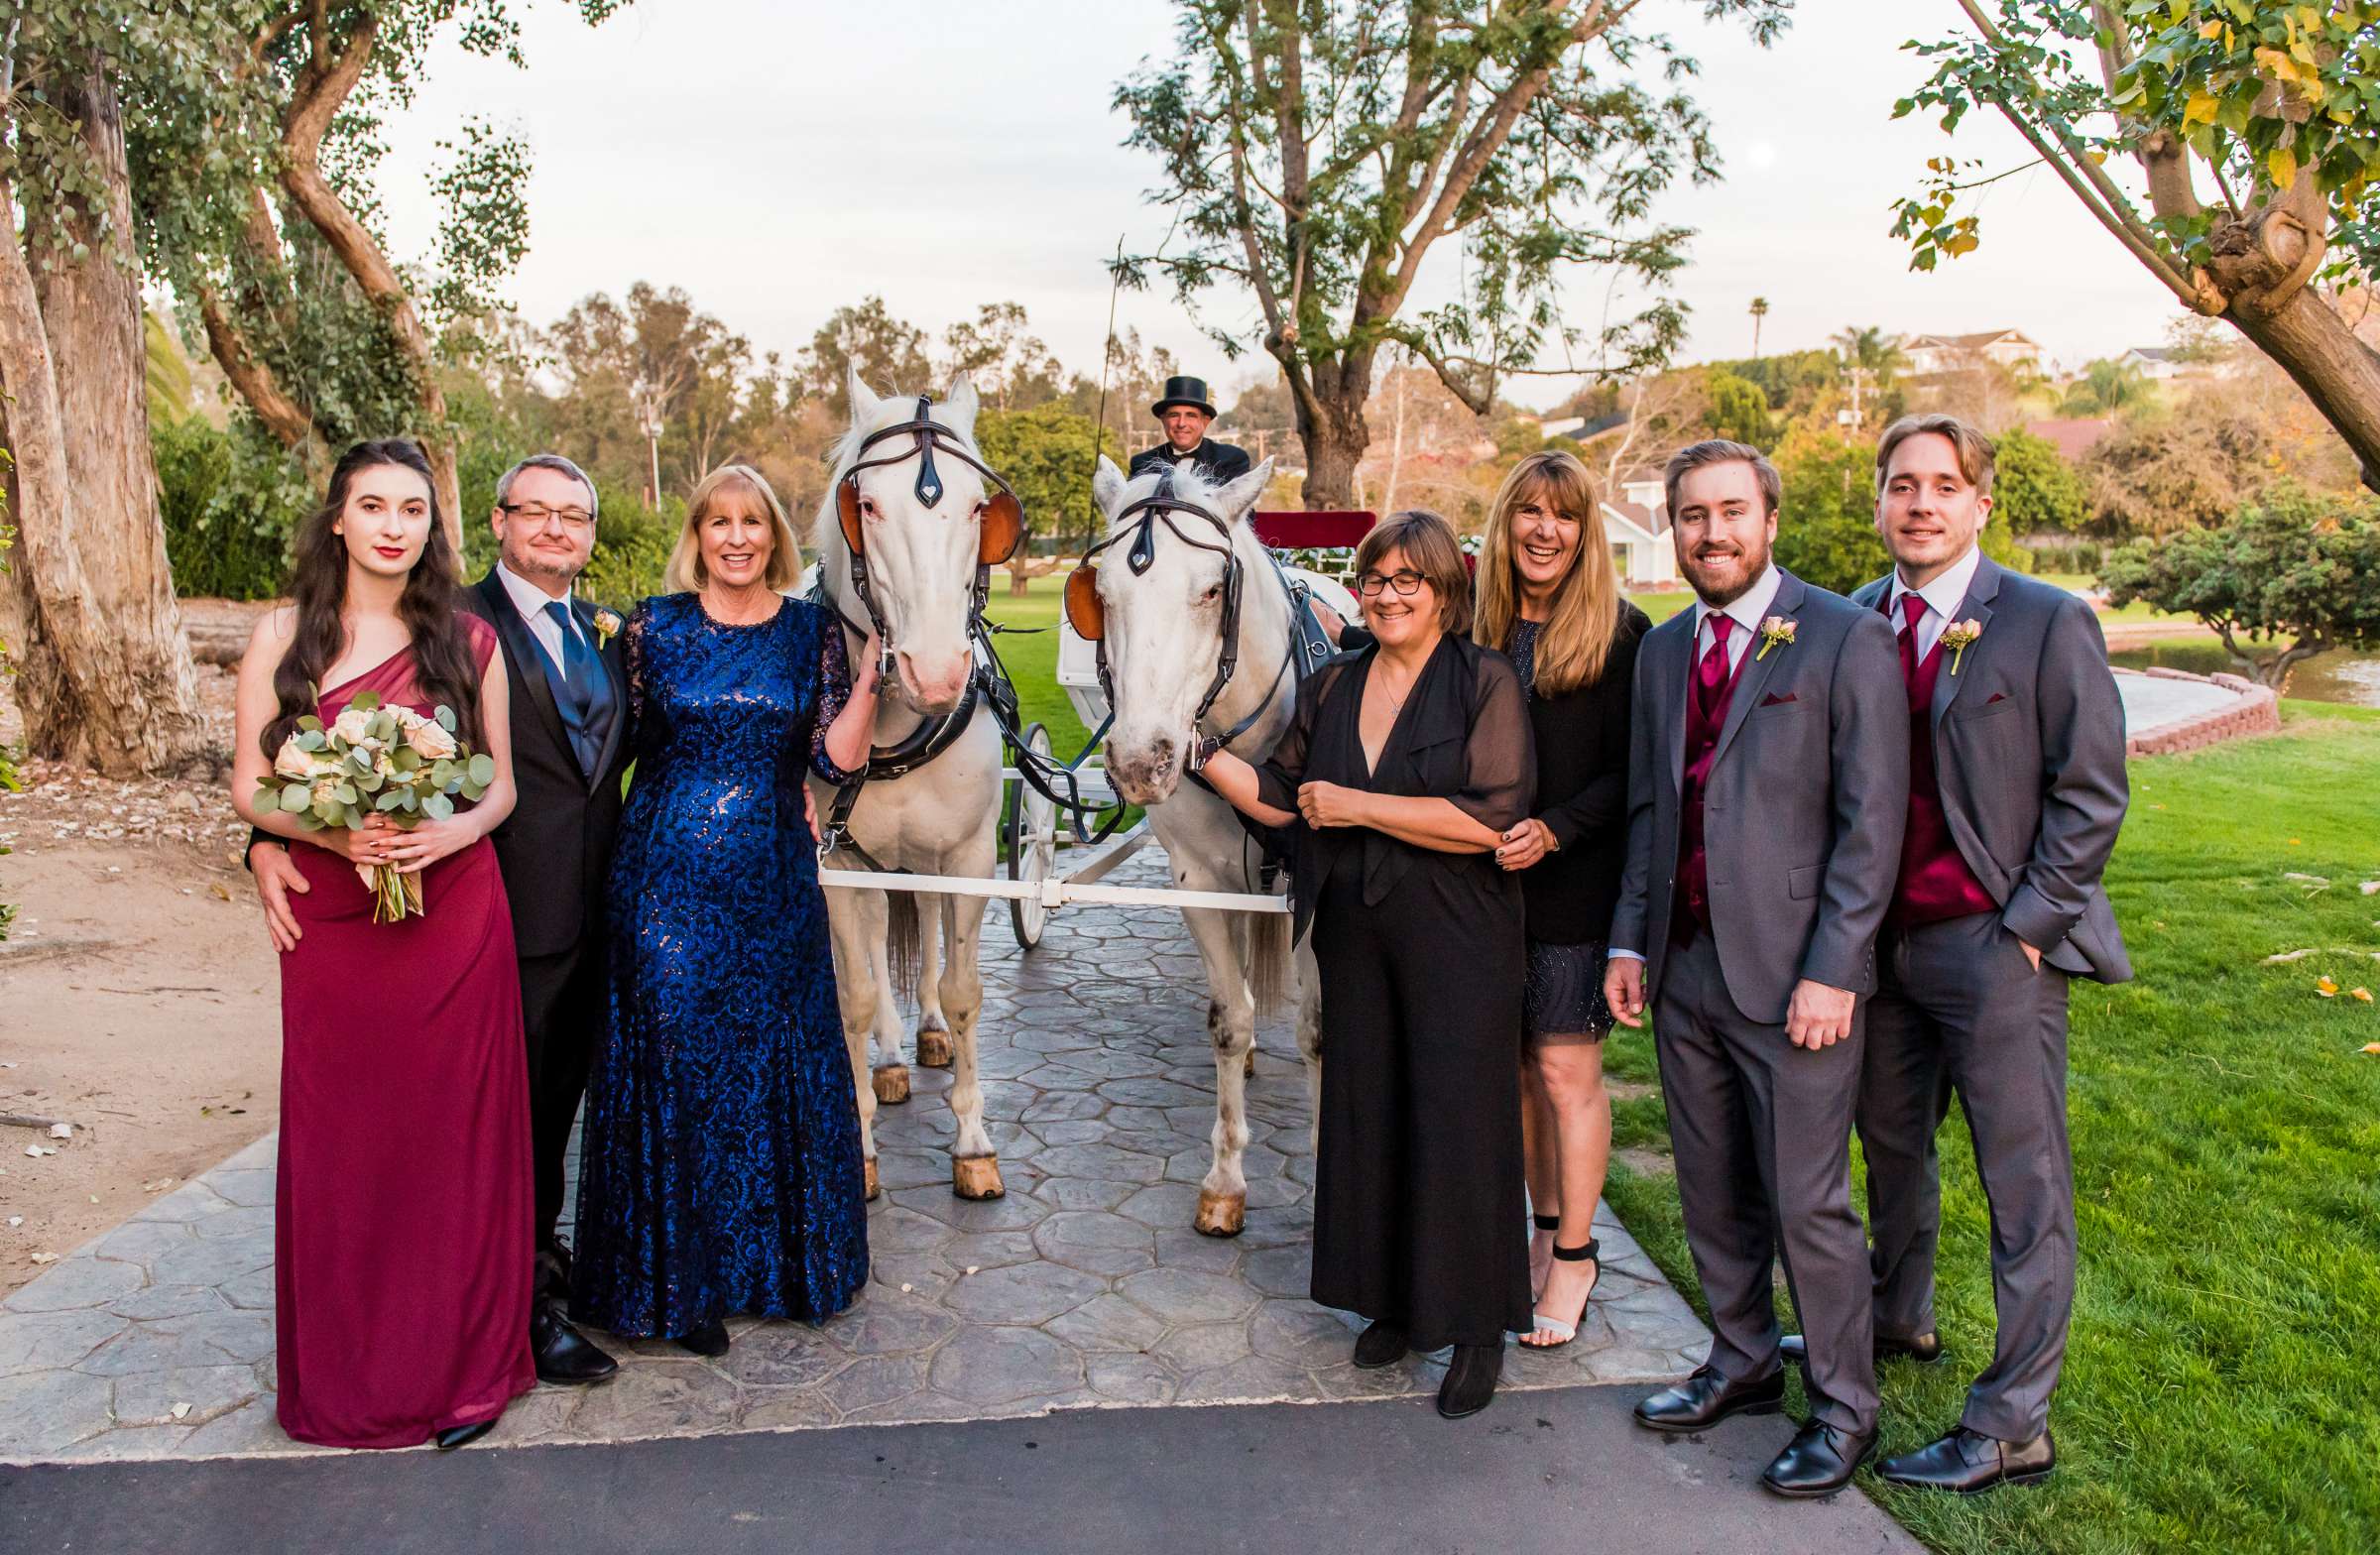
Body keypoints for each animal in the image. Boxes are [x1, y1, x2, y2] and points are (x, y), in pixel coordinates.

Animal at [1075, 454, 1323, 1229]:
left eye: (1213, 590)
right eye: (1099, 593)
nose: (1138, 760)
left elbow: (1318, 1029)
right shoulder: (1200, 882)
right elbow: (1228, 1020)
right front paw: (1225, 1180)